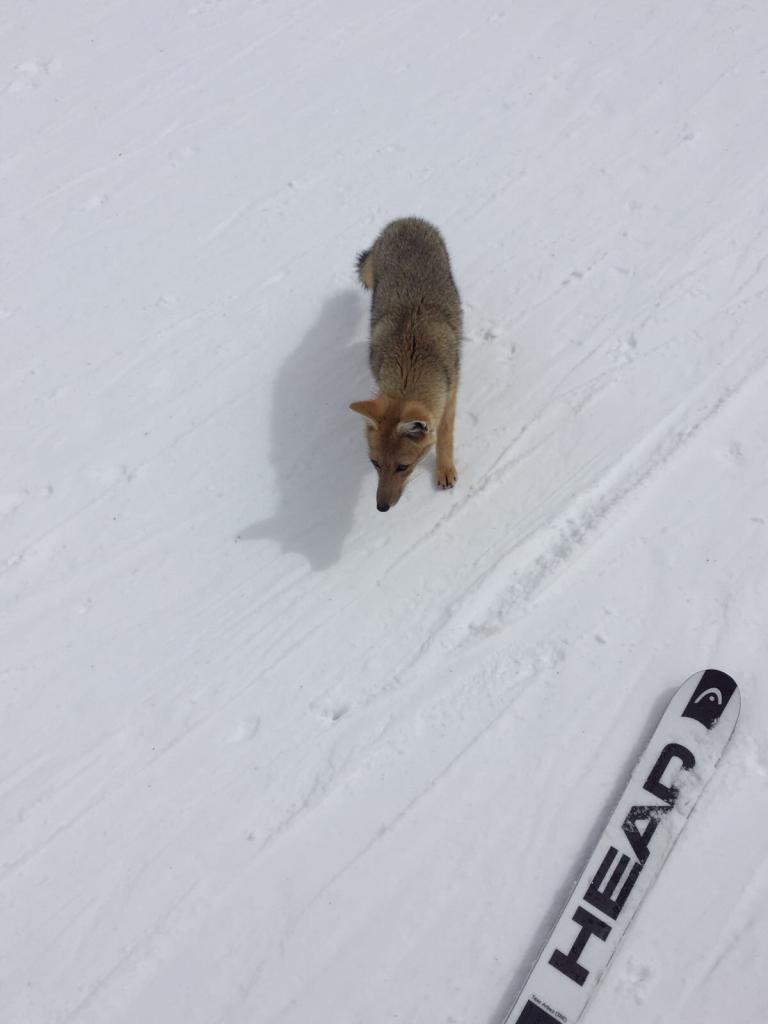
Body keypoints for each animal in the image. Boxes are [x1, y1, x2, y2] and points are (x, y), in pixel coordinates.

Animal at [352, 220, 466, 516]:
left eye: (403, 467)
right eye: (375, 463)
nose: (381, 507)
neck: (410, 361)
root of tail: (404, 220)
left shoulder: (450, 392)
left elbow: (445, 437)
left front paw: (444, 471)